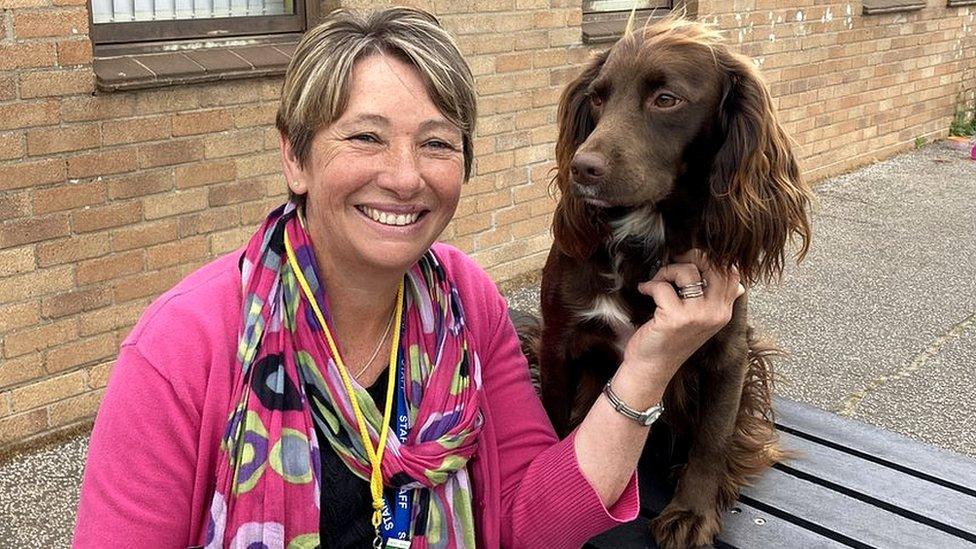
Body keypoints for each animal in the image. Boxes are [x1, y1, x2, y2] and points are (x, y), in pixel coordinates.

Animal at [536, 17, 812, 548]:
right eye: (597, 98)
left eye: (666, 99)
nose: (581, 169)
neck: (646, 239)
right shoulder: (558, 341)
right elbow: (552, 416)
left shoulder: (729, 352)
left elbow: (712, 438)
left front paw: (692, 512)